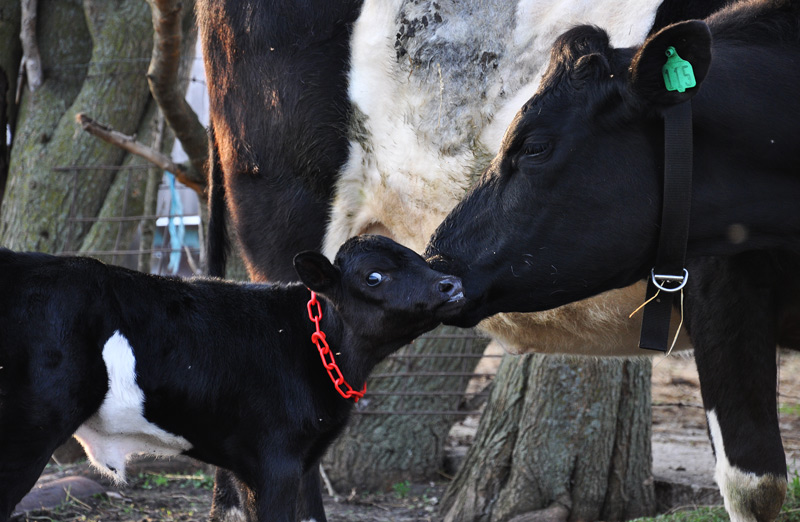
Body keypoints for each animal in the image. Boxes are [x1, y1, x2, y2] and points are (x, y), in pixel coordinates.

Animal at [0, 235, 465, 522]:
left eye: (419, 258)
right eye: (374, 276)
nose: (451, 284)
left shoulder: (287, 460)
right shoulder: (275, 461)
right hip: (26, 436)